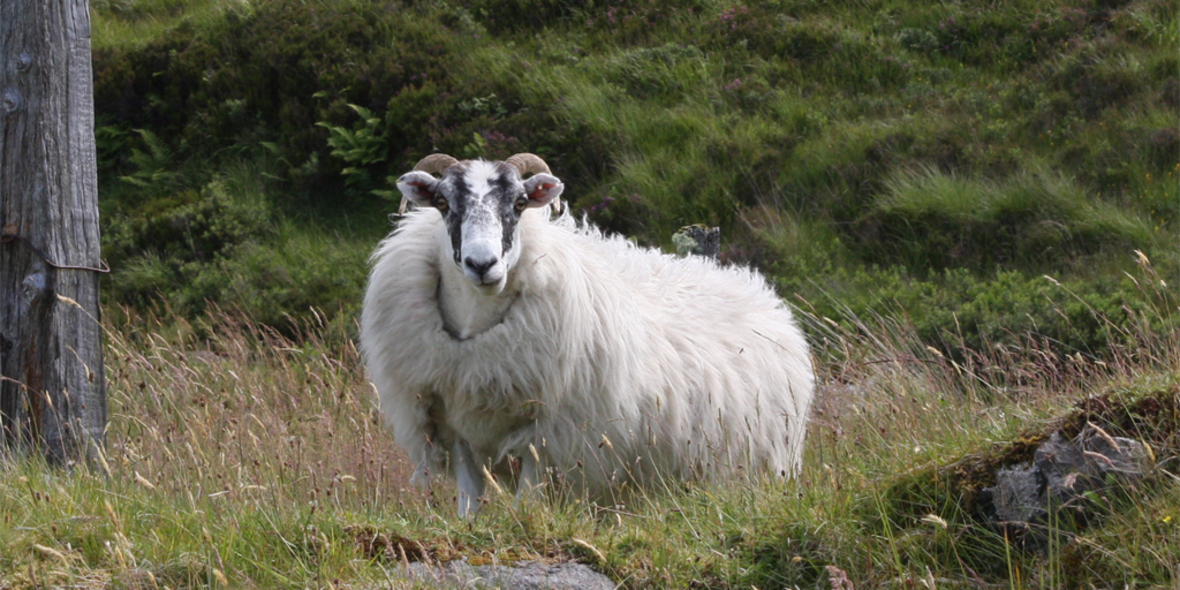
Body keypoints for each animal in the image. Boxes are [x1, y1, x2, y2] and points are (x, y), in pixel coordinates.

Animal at [358, 153, 816, 516]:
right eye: (441, 203)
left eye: (520, 203)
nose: (482, 264)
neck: (476, 330)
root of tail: (754, 287)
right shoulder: (454, 427)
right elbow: (469, 506)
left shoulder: (551, 432)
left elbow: (527, 502)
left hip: (758, 465)